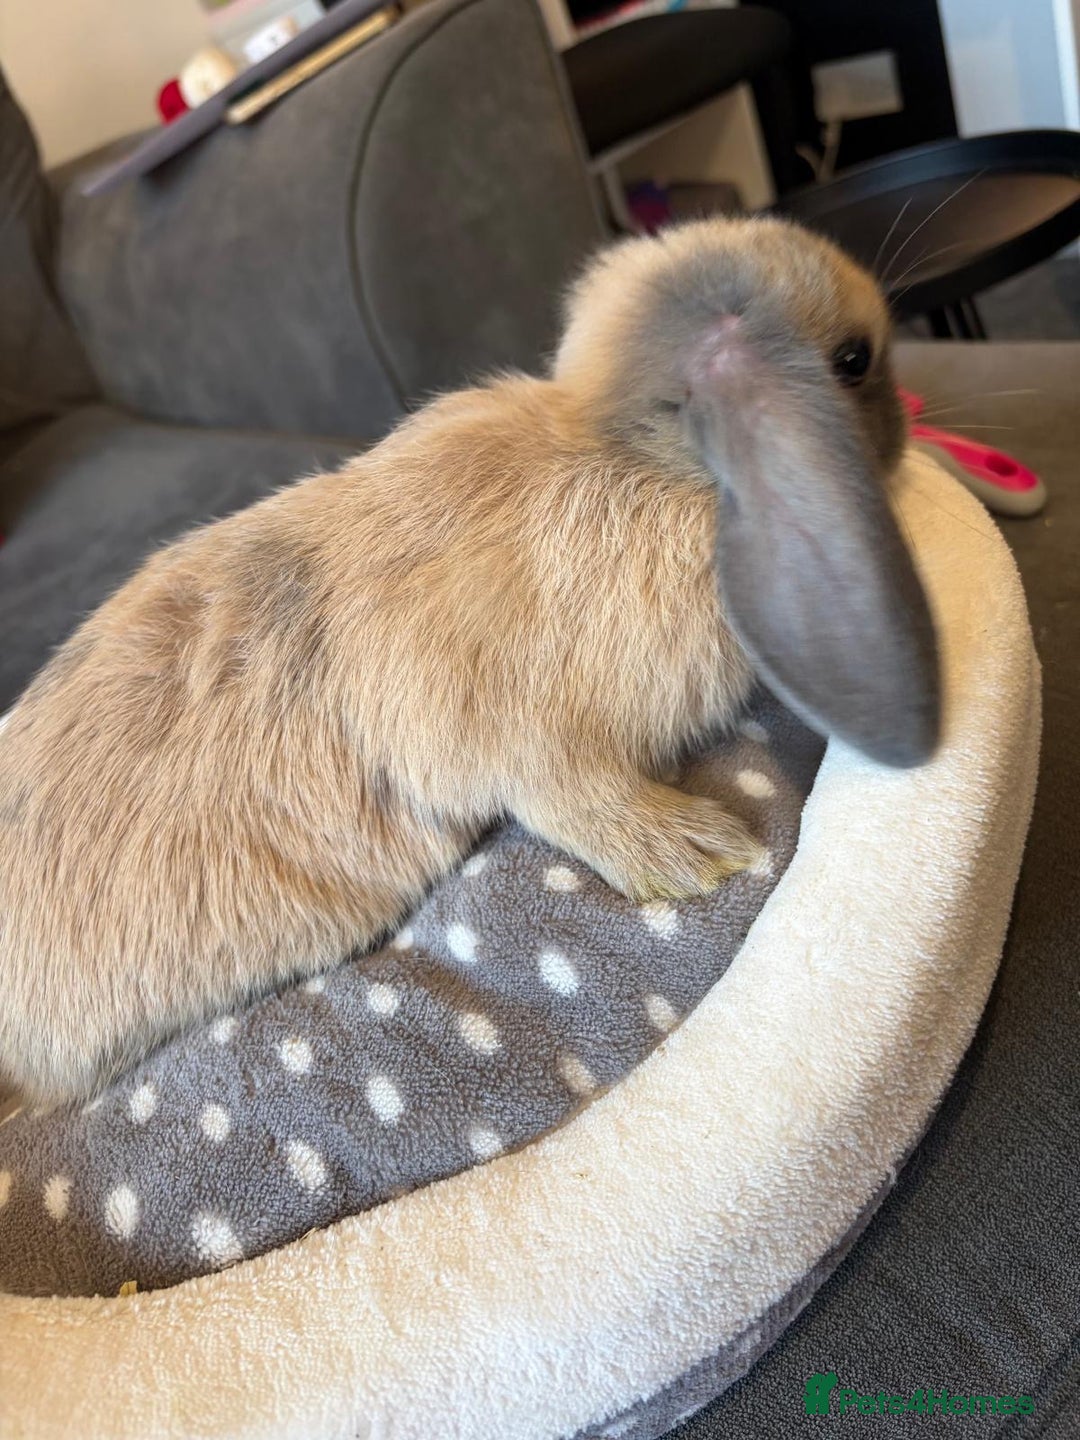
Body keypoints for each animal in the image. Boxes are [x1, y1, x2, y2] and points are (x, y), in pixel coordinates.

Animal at [0, 217, 939, 1104]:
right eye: (852, 361)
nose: (910, 424)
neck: (629, 456)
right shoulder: (495, 725)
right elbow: (564, 792)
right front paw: (702, 853)